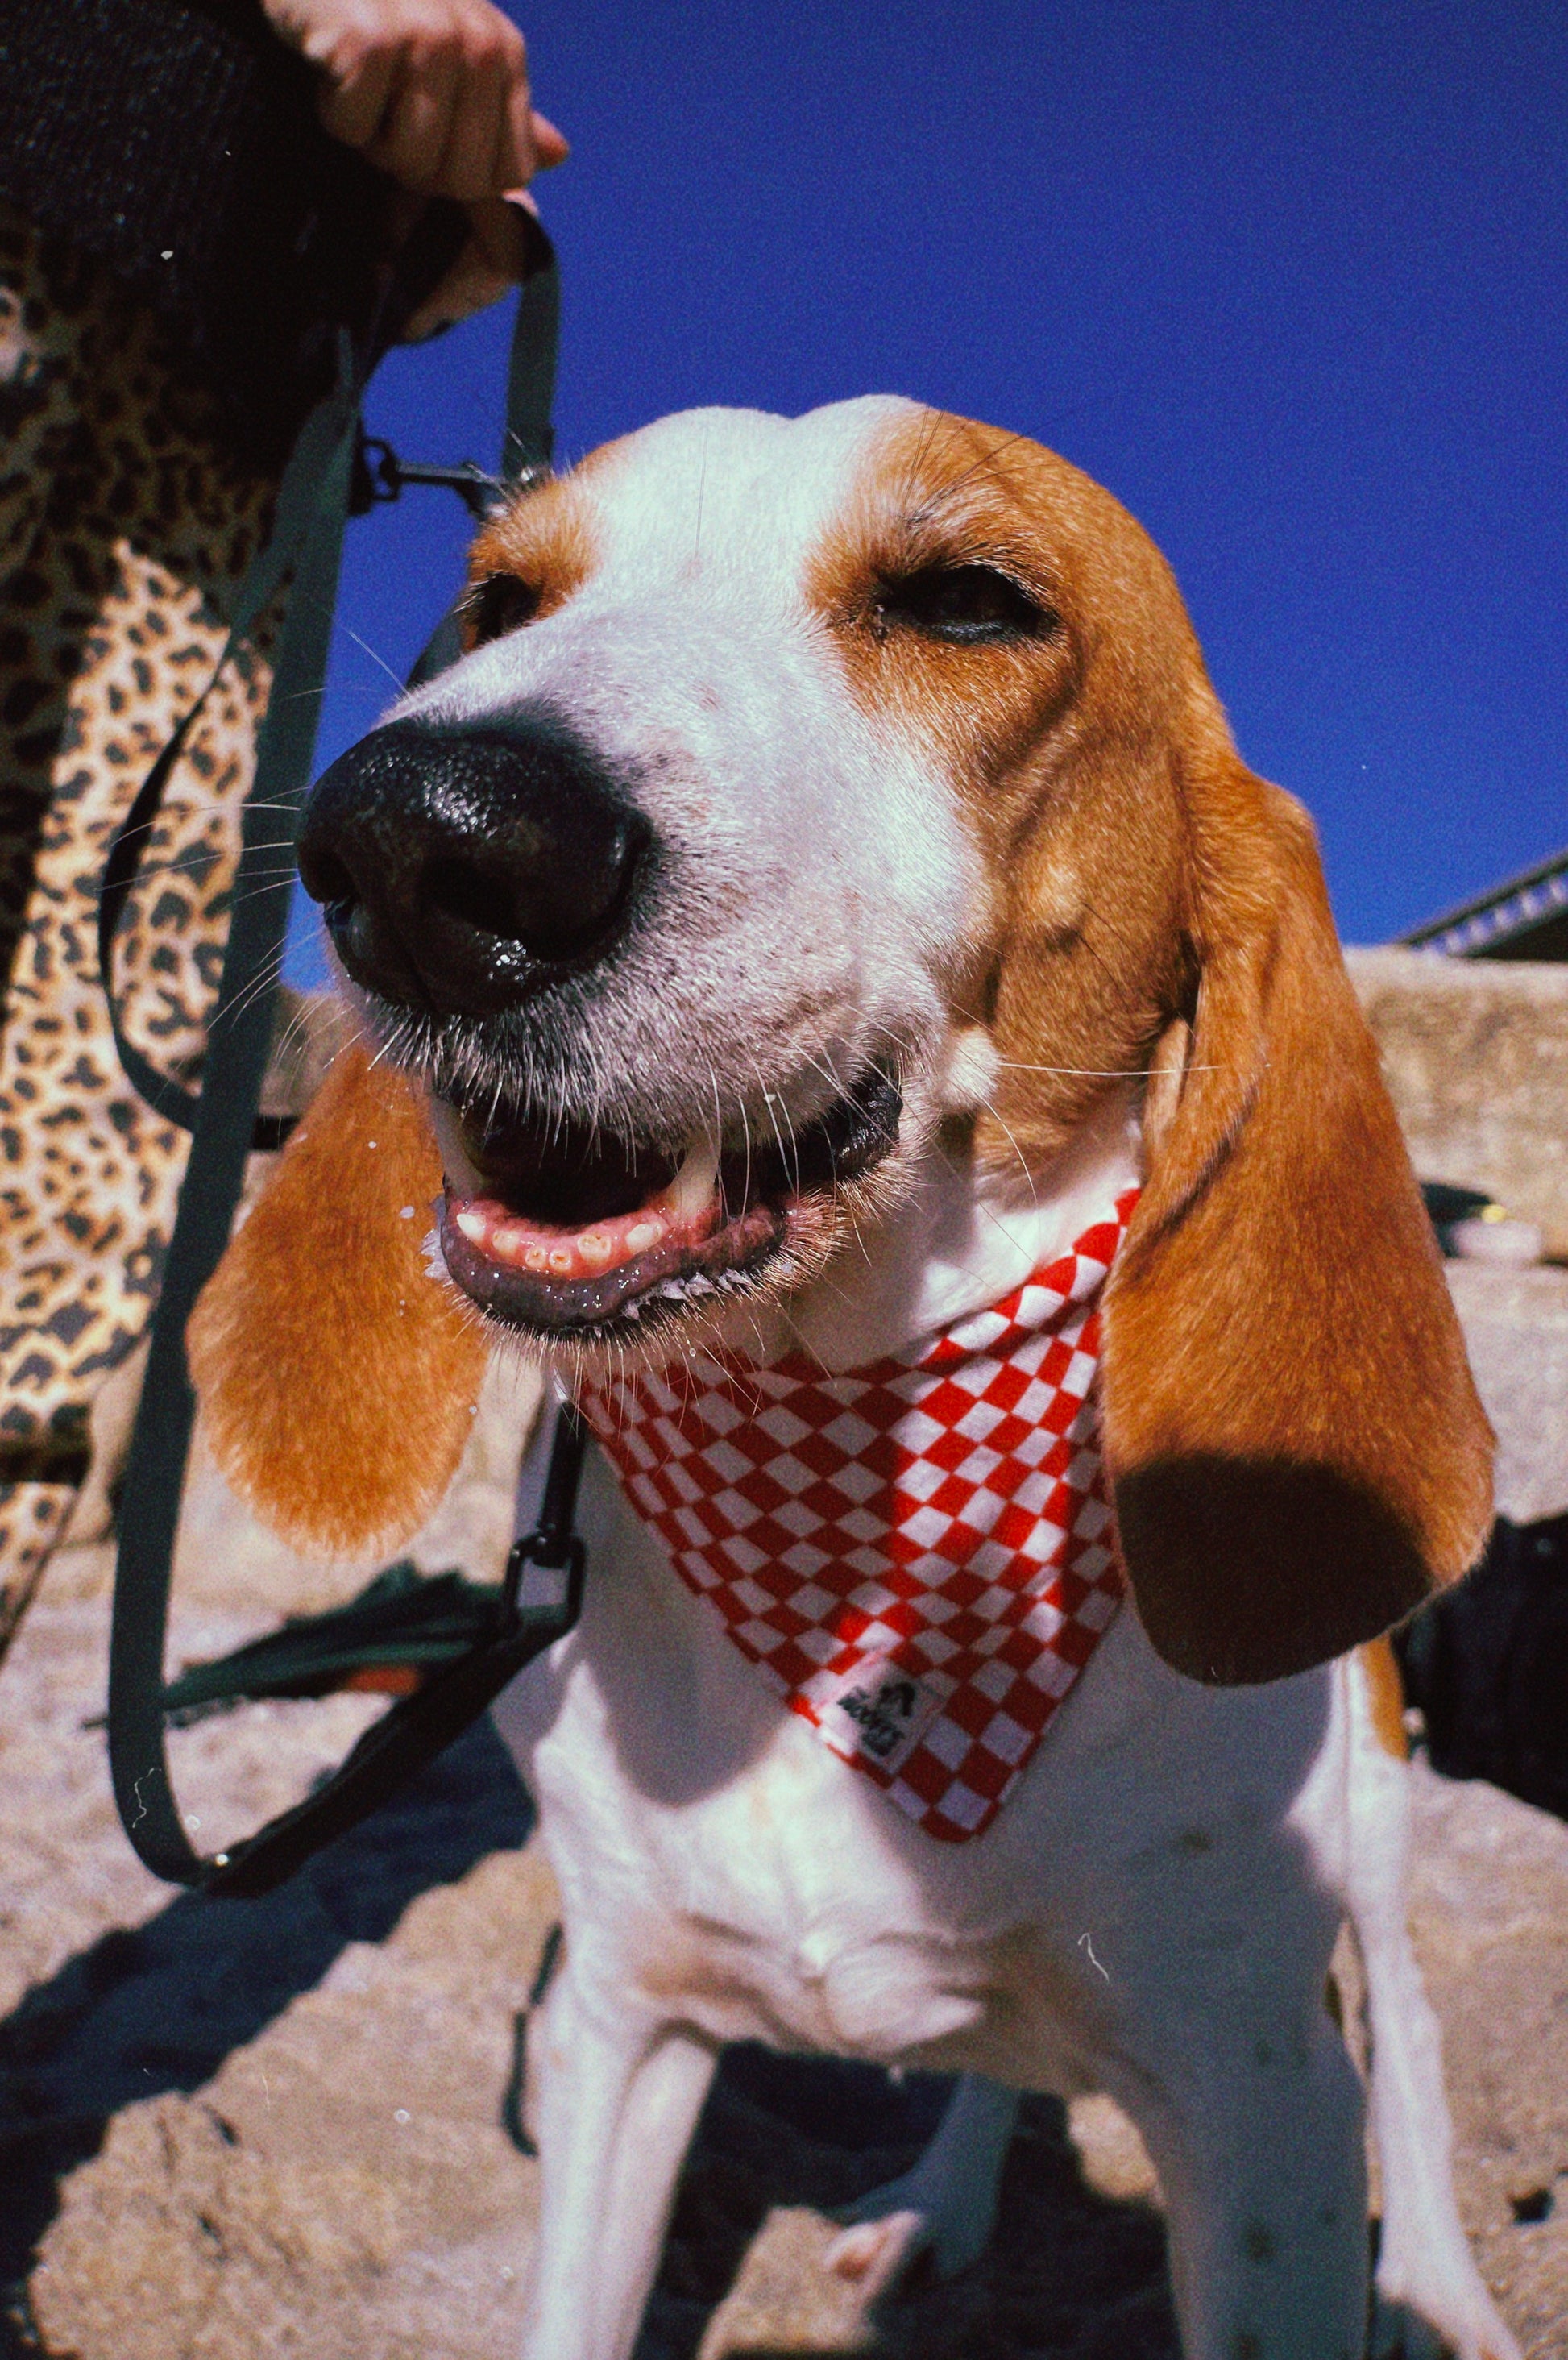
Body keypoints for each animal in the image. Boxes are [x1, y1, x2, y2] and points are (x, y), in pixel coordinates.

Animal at [186, 396, 1518, 2350]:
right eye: (501, 601)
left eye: (967, 601)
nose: (425, 842)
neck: (854, 1513)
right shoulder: (614, 2027)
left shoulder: (1259, 2099)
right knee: (998, 2070)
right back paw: (938, 2210)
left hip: (1377, 1848)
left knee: (1411, 2039)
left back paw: (1434, 2277)